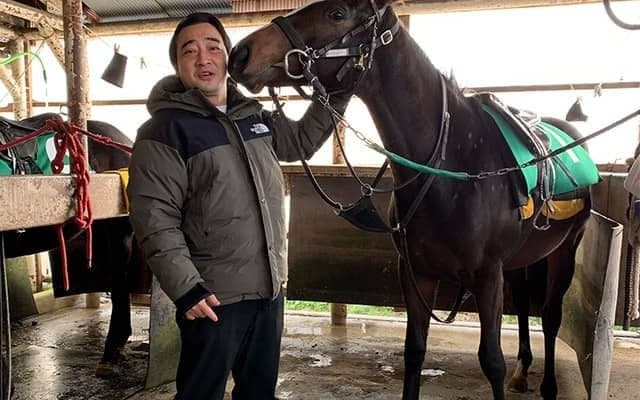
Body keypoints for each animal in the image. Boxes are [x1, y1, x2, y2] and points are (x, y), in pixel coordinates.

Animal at [227, 1, 594, 399]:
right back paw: (523, 369)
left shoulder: (486, 276)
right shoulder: (417, 273)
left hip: (564, 250)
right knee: (526, 306)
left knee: (551, 317)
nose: (241, 53)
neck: (454, 164)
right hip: (519, 260)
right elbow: (415, 351)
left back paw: (548, 385)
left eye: (337, 13)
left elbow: (492, 360)